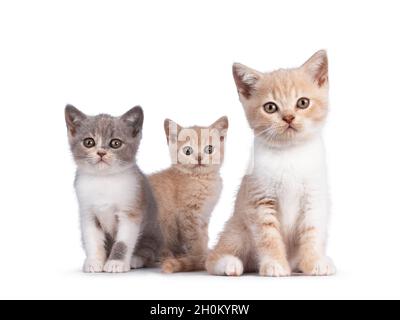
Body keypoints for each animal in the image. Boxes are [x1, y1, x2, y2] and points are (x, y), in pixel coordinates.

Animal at [65, 104, 162, 272]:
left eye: (115, 143)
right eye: (89, 142)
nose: (101, 152)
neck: (104, 180)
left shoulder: (131, 211)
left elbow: (123, 241)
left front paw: (116, 263)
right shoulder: (88, 213)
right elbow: (93, 240)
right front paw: (94, 261)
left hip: (152, 230)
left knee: (149, 249)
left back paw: (135, 259)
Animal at [150, 117, 230, 272]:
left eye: (209, 149)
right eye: (187, 151)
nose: (199, 158)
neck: (200, 179)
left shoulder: (204, 216)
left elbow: (204, 237)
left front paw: (204, 253)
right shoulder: (188, 214)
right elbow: (195, 239)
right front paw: (199, 258)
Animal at [206, 50, 334, 278]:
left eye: (303, 103)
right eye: (270, 107)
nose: (289, 117)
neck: (290, 153)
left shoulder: (314, 198)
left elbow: (312, 232)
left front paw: (314, 261)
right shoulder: (260, 200)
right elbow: (268, 236)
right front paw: (275, 264)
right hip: (238, 228)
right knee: (214, 256)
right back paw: (229, 263)